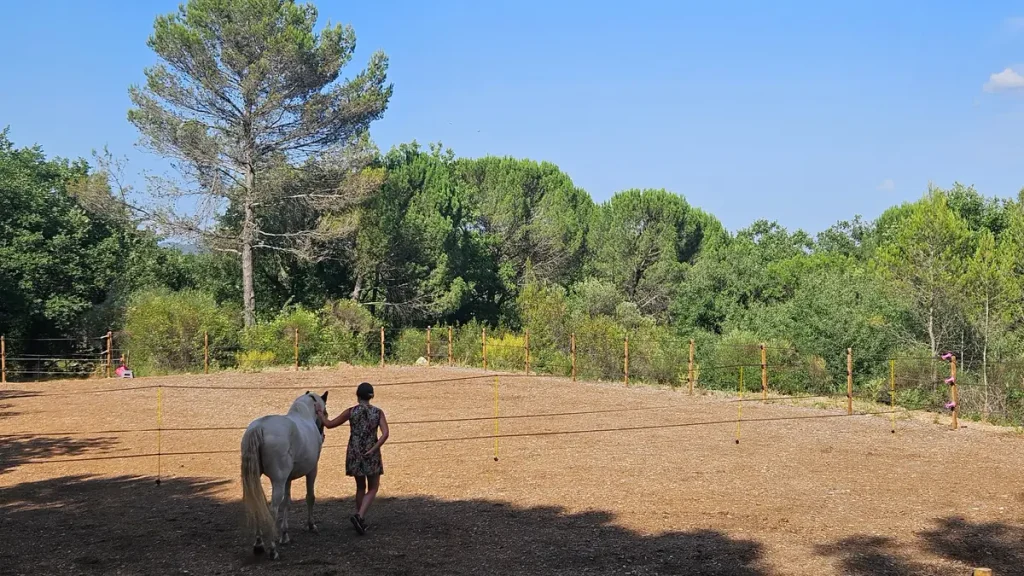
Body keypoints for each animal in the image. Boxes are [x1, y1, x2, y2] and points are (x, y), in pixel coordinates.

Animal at [240, 390, 328, 560]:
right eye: (325, 412)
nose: (322, 434)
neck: (304, 414)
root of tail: (259, 427)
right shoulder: (312, 470)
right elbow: (310, 497)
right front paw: (311, 525)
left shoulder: (288, 478)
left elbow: (287, 502)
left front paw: (285, 535)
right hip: (278, 481)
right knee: (273, 509)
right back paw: (272, 550)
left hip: (258, 479)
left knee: (257, 503)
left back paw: (259, 544)